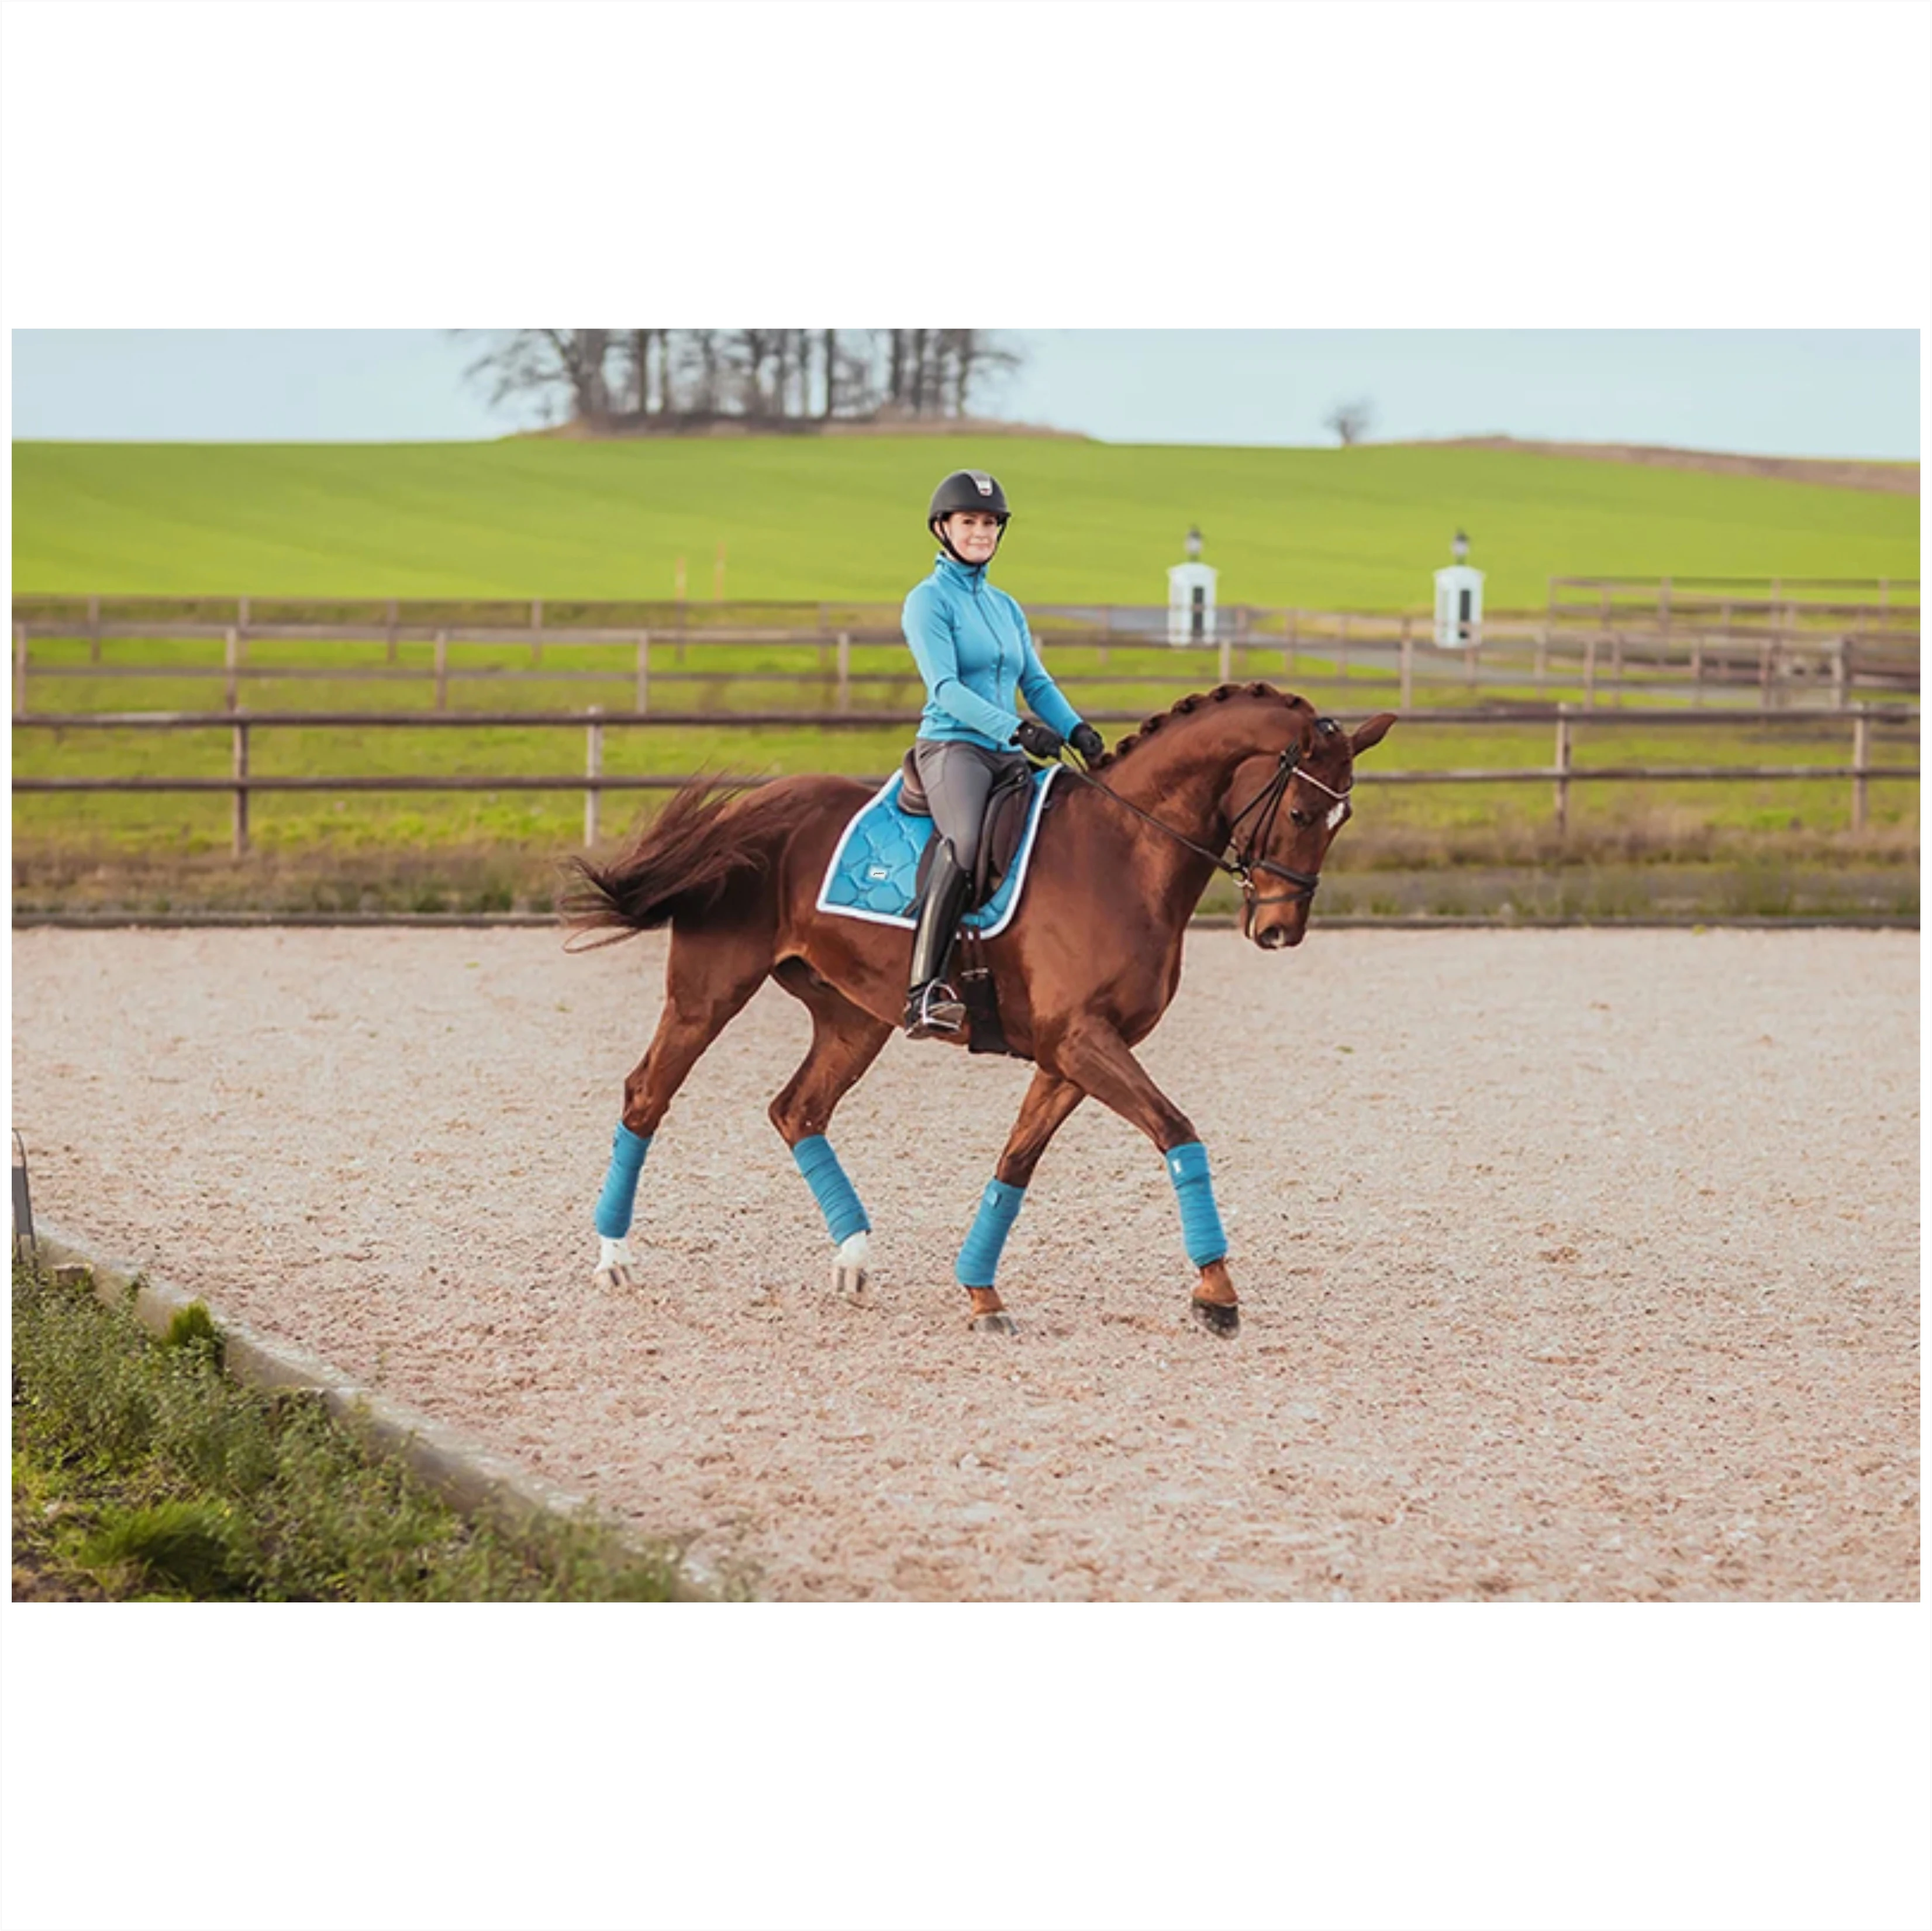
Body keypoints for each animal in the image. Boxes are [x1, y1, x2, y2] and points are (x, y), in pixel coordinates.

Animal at [561, 682, 1397, 1335]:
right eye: (1299, 812)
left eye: (1343, 821)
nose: (1279, 930)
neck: (1124, 851)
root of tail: (746, 812)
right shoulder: (1083, 1042)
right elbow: (1177, 1132)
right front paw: (1216, 1292)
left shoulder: (1071, 1055)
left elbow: (1015, 1164)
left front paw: (981, 1293)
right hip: (709, 994)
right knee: (647, 1096)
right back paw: (614, 1262)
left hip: (854, 1018)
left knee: (797, 1109)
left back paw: (854, 1262)